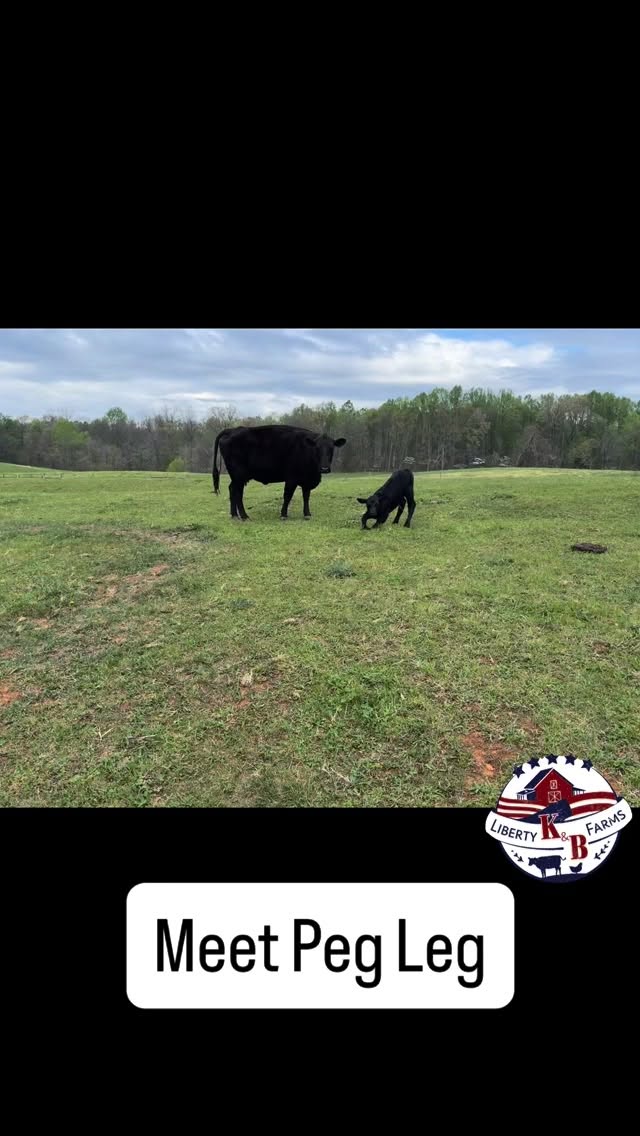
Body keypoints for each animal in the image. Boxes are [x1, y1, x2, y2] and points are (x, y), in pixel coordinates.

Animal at [212, 425, 347, 521]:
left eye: (332, 448)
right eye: (317, 448)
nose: (324, 468)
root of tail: (232, 429)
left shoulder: (306, 480)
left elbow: (306, 496)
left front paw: (307, 514)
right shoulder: (291, 478)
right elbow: (287, 496)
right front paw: (283, 514)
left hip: (236, 476)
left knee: (232, 489)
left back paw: (234, 515)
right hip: (239, 475)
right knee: (238, 492)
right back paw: (244, 516)